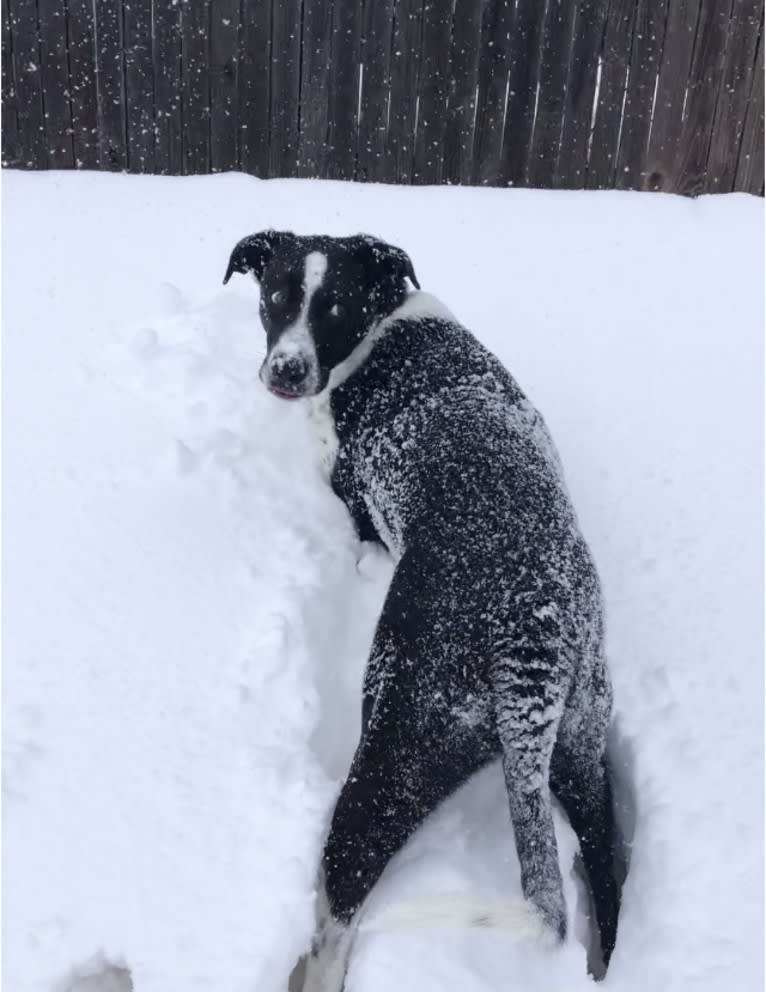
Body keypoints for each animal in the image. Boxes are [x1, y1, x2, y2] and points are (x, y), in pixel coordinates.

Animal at [225, 231, 628, 984]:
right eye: (276, 295)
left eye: (334, 306)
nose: (287, 372)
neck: (381, 324)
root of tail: (530, 638)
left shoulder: (351, 498)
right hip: (582, 744)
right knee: (608, 863)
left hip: (395, 743)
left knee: (343, 901)